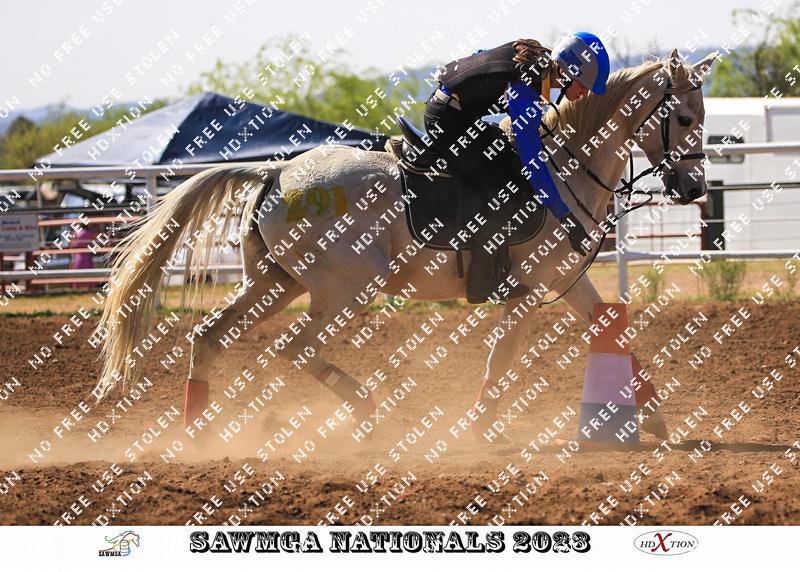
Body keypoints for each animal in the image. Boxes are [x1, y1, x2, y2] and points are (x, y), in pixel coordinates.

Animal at [92, 49, 719, 446]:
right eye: (686, 115)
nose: (694, 189)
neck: (561, 171)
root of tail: (276, 173)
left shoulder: (569, 281)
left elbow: (616, 334)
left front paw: (654, 419)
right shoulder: (527, 292)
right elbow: (501, 361)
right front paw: (478, 428)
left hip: (275, 283)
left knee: (209, 337)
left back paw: (196, 434)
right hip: (342, 291)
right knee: (294, 348)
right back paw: (365, 410)